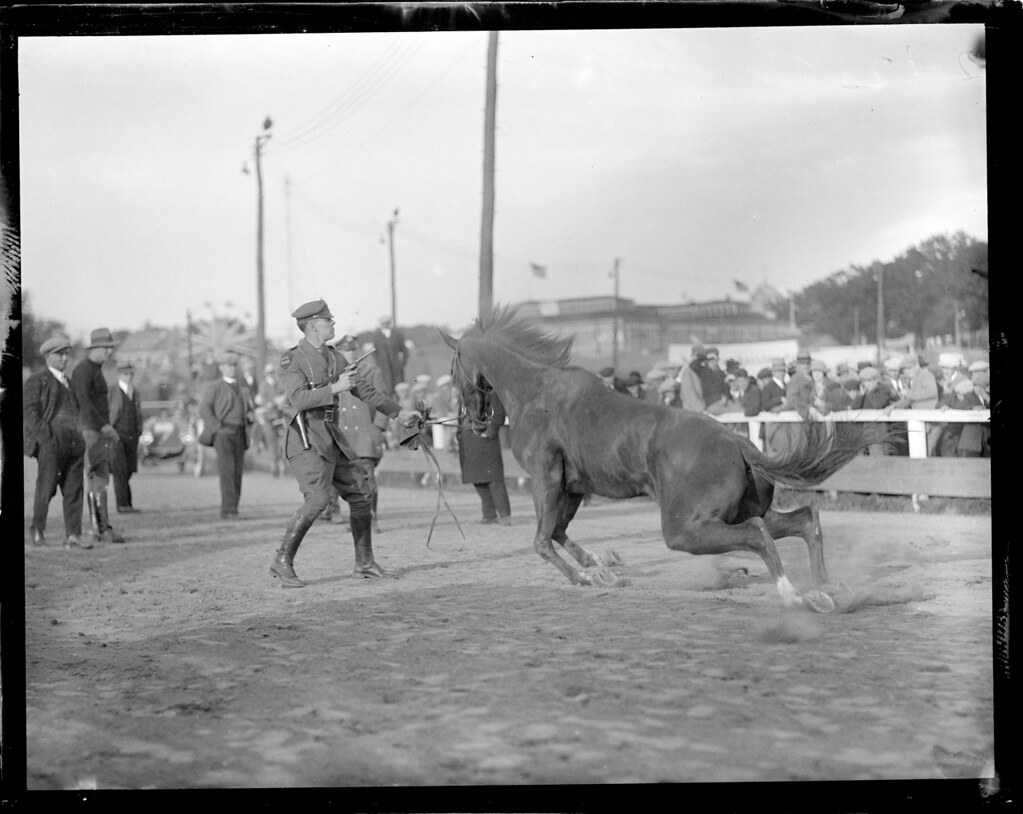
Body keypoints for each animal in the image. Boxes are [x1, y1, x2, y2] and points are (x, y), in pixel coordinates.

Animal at [443, 304, 883, 609]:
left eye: (453, 369)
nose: (475, 422)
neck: (536, 391)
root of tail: (738, 442)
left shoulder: (547, 480)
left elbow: (542, 540)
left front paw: (586, 577)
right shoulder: (573, 487)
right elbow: (558, 532)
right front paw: (601, 567)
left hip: (685, 528)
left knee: (759, 533)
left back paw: (793, 595)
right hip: (730, 514)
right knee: (804, 520)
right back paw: (827, 588)